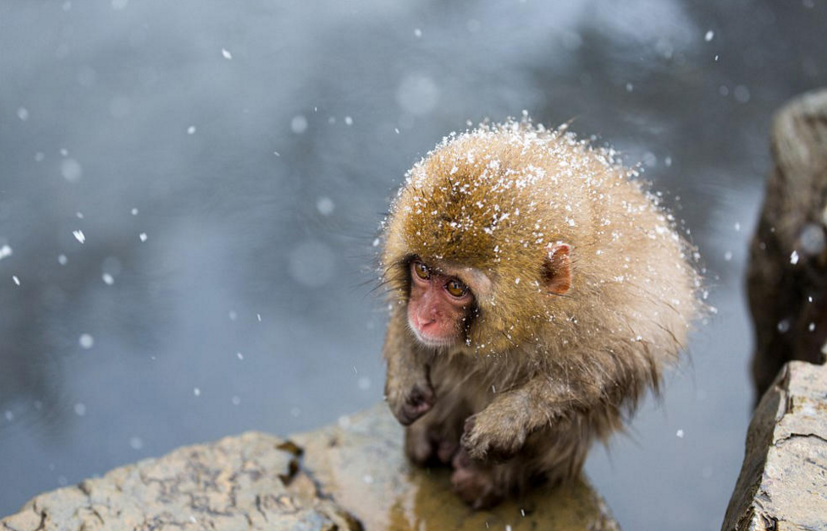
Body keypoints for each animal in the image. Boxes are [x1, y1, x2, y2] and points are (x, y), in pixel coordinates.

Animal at [378, 118, 700, 510]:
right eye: (423, 271)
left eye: (455, 288)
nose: (423, 317)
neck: (532, 317)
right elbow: (401, 317)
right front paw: (404, 376)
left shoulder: (615, 315)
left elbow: (603, 373)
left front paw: (508, 418)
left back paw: (493, 478)